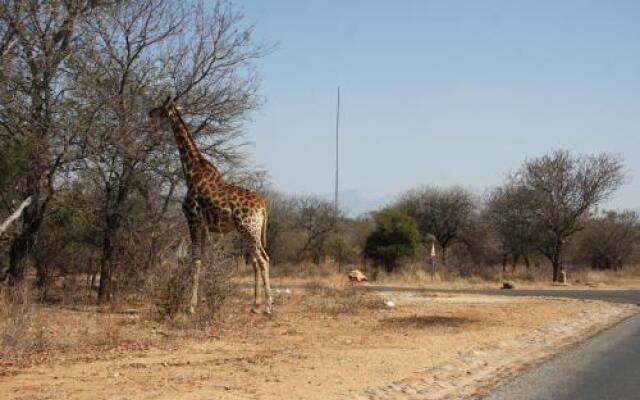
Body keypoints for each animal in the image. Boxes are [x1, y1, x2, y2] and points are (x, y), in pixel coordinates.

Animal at [150, 96, 272, 312]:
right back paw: (255, 305)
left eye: (159, 107)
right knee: (258, 260)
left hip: (249, 228)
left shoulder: (193, 218)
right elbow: (203, 259)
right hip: (250, 231)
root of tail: (263, 206)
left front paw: (190, 307)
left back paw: (267, 306)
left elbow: (195, 260)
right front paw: (203, 302)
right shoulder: (205, 225)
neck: (191, 172)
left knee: (263, 260)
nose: (149, 112)